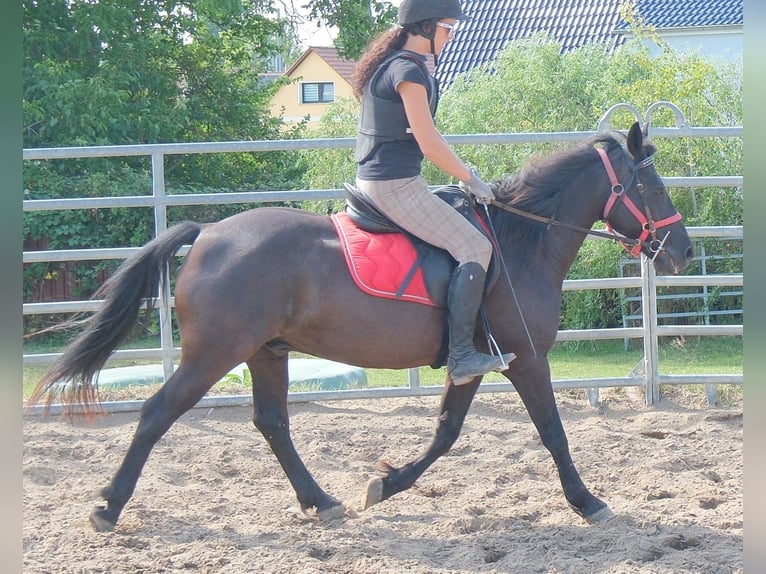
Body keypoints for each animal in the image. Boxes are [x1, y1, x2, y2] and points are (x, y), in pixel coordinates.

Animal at [27, 121, 693, 532]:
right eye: (652, 185)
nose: (682, 252)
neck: (520, 240)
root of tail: (208, 232)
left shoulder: (477, 363)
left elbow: (446, 433)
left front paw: (387, 484)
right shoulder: (528, 359)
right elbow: (553, 433)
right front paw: (588, 502)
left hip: (266, 352)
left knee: (272, 423)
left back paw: (321, 502)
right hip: (214, 354)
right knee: (157, 413)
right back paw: (109, 507)